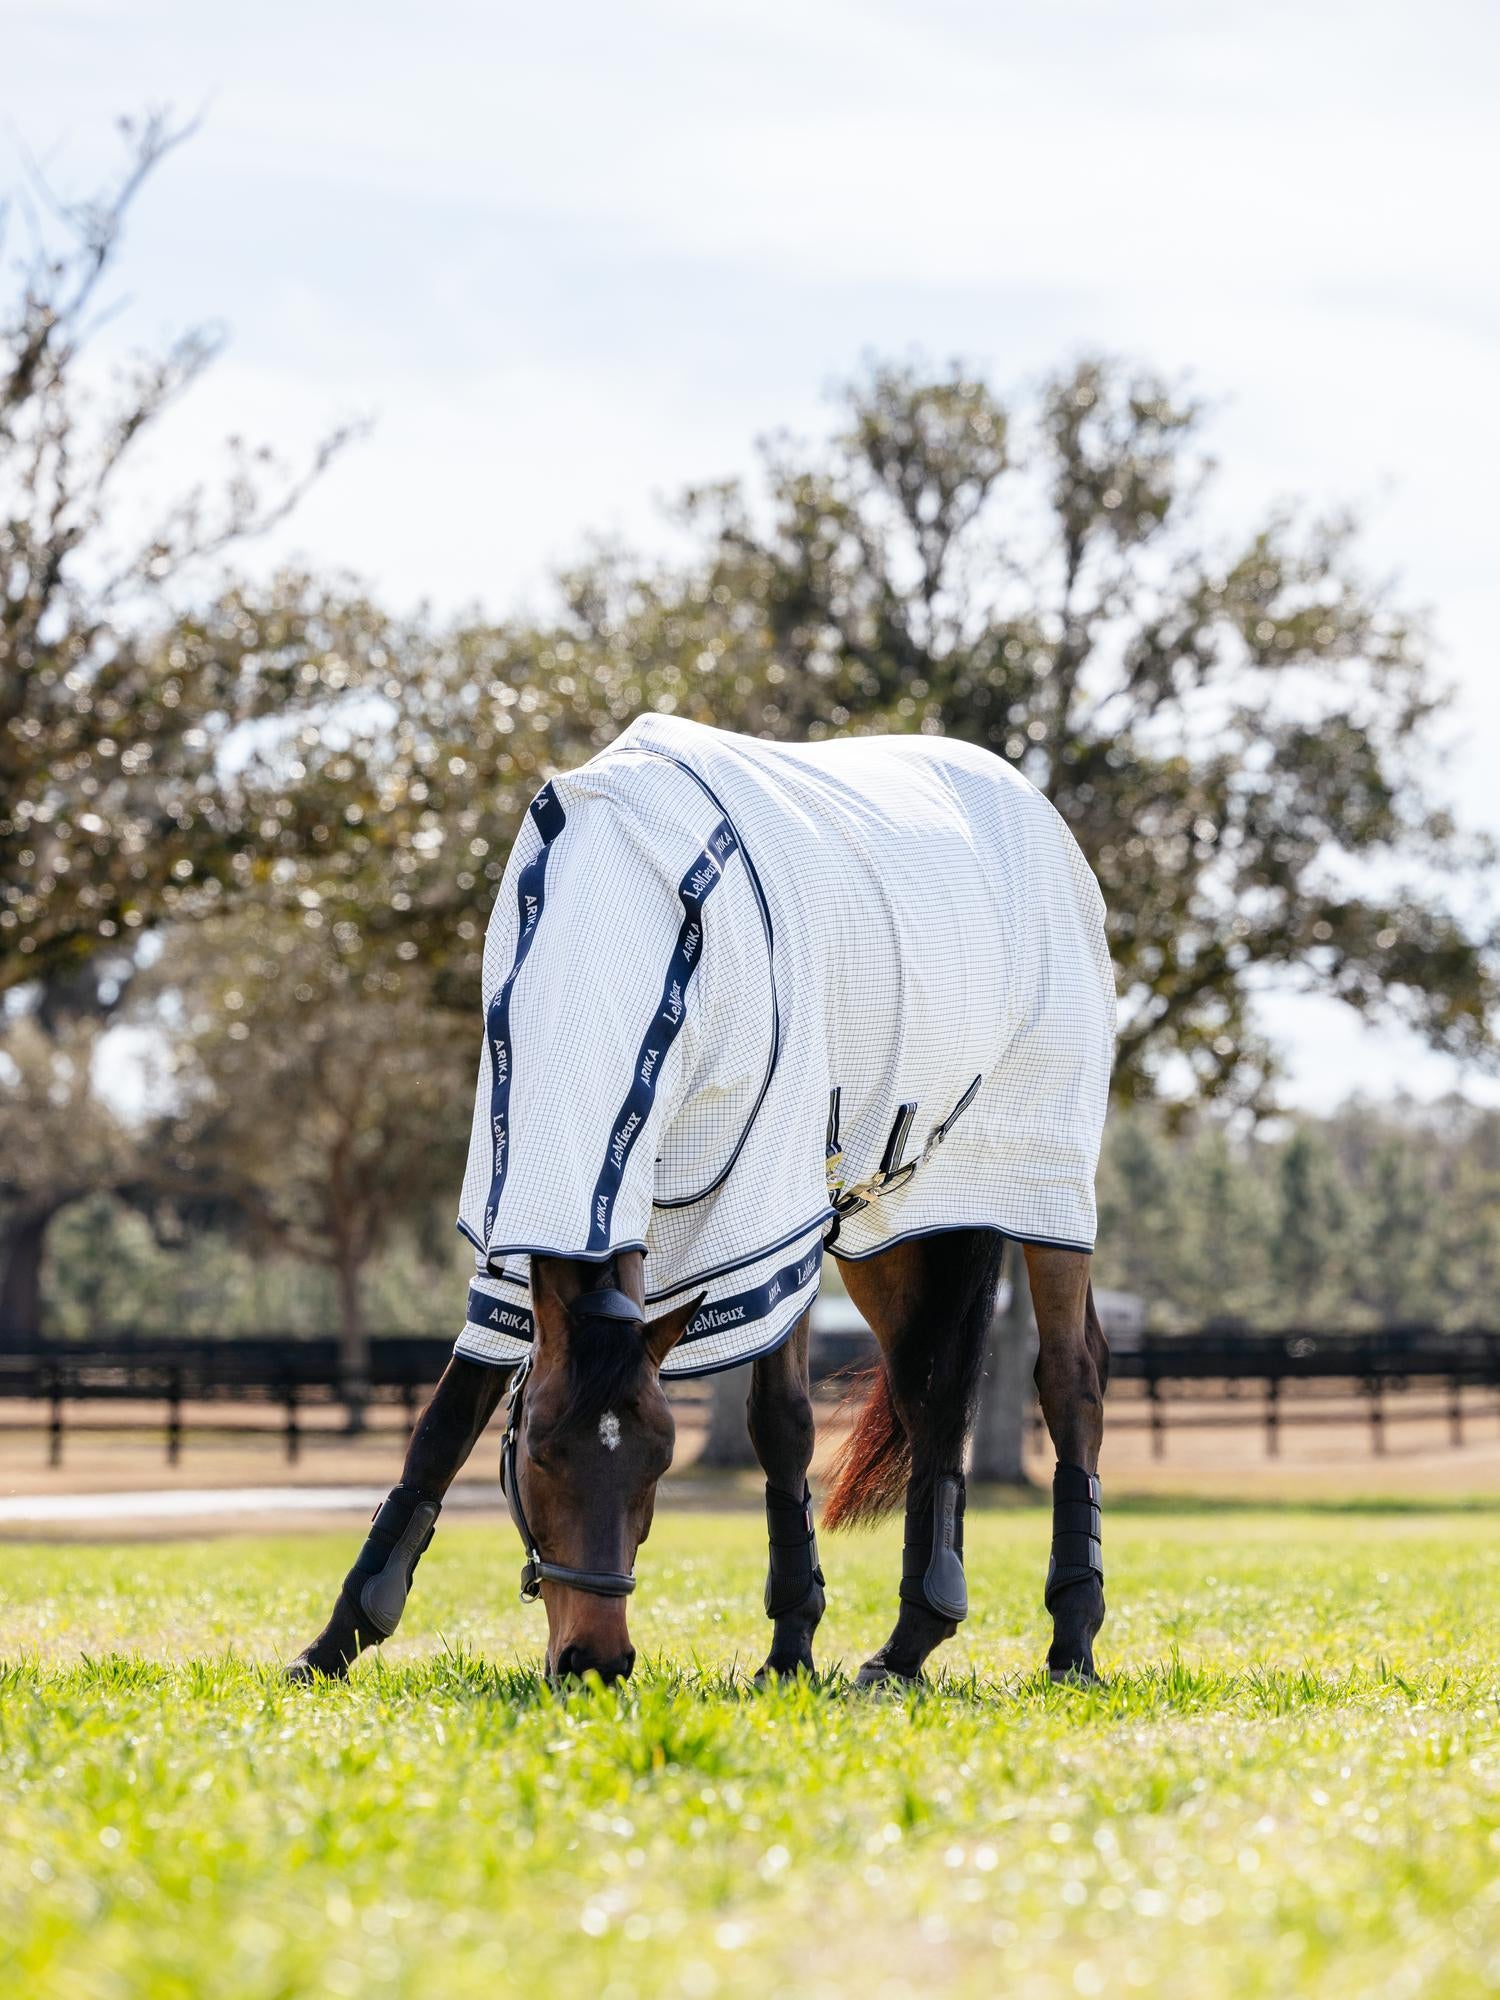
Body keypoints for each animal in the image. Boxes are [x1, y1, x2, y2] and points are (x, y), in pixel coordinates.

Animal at [288, 715, 1113, 1687]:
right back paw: (911, 1642)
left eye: (658, 1463)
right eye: (540, 1453)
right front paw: (334, 1643)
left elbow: (781, 1423)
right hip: (894, 1226)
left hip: (1042, 1189)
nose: (596, 1661)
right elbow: (445, 1422)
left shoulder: (768, 1219)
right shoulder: (517, 1216)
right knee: (931, 1391)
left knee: (1070, 1379)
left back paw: (1072, 1636)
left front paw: (790, 1646)